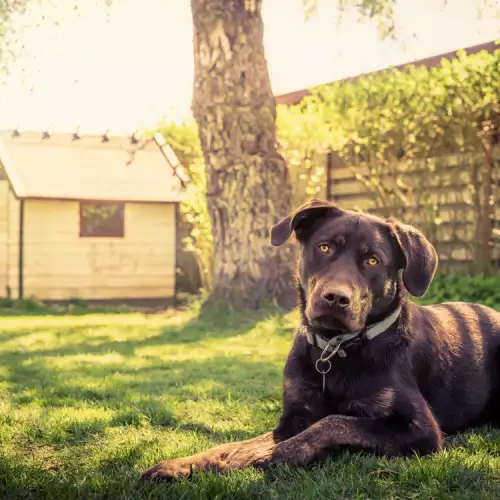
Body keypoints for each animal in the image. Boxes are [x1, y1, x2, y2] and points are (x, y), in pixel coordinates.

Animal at [139, 198, 500, 480]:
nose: (336, 298)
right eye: (324, 247)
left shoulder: (419, 428)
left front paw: (276, 455)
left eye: (372, 260)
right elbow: (233, 445)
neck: (336, 349)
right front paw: (183, 464)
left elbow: (334, 421)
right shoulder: (292, 417)